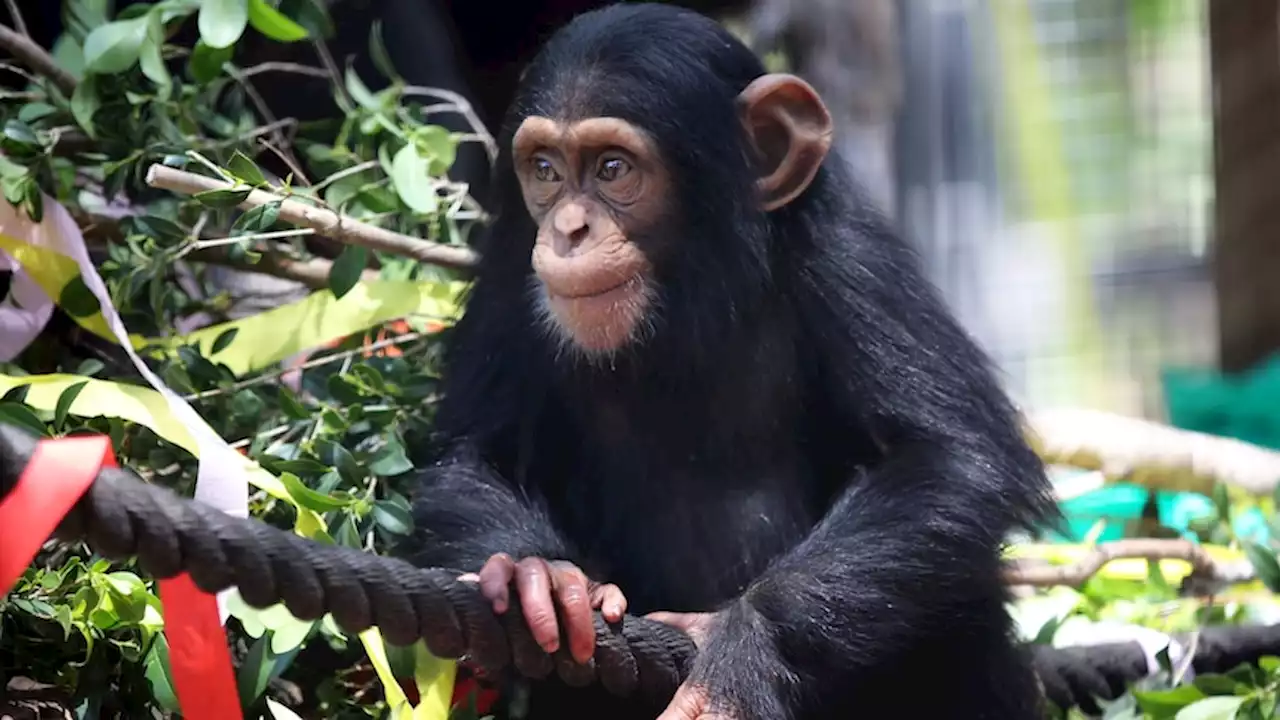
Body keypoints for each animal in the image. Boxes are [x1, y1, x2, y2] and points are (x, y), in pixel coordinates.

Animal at [412, 2, 1059, 712]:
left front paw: (744, 652)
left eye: (612, 168)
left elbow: (949, 458)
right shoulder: (509, 266)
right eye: (546, 170)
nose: (568, 230)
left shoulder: (851, 256)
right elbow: (472, 455)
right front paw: (541, 578)